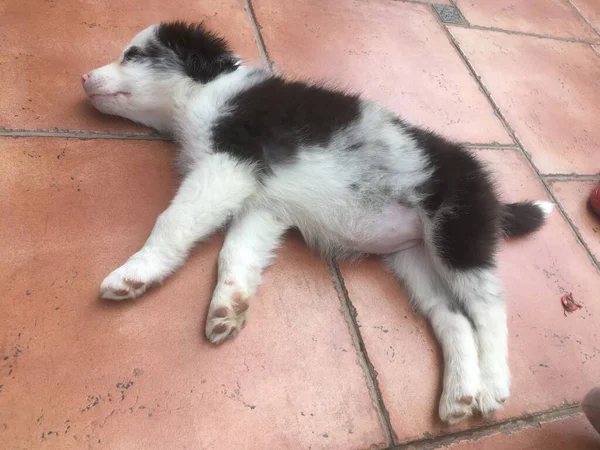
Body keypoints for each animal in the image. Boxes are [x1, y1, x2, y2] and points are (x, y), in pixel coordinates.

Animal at [83, 22, 552, 426]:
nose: (85, 78)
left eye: (133, 54)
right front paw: (228, 306)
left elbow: (173, 220)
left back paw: (492, 386)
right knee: (453, 317)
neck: (208, 90)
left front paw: (135, 274)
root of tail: (491, 193)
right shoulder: (262, 204)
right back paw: (459, 395)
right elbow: (236, 254)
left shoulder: (230, 163)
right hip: (416, 258)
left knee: (488, 309)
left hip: (457, 233)